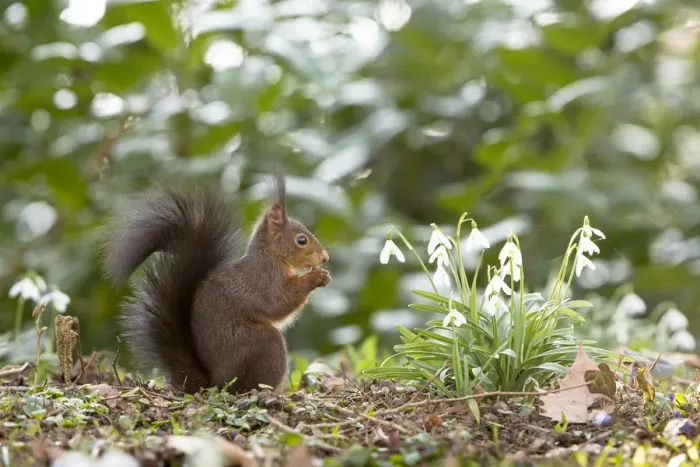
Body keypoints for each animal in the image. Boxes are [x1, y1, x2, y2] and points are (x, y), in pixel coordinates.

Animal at [102, 173, 331, 394]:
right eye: (301, 240)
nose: (325, 258)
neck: (271, 256)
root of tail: (214, 382)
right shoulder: (264, 279)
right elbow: (279, 301)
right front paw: (316, 277)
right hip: (266, 344)